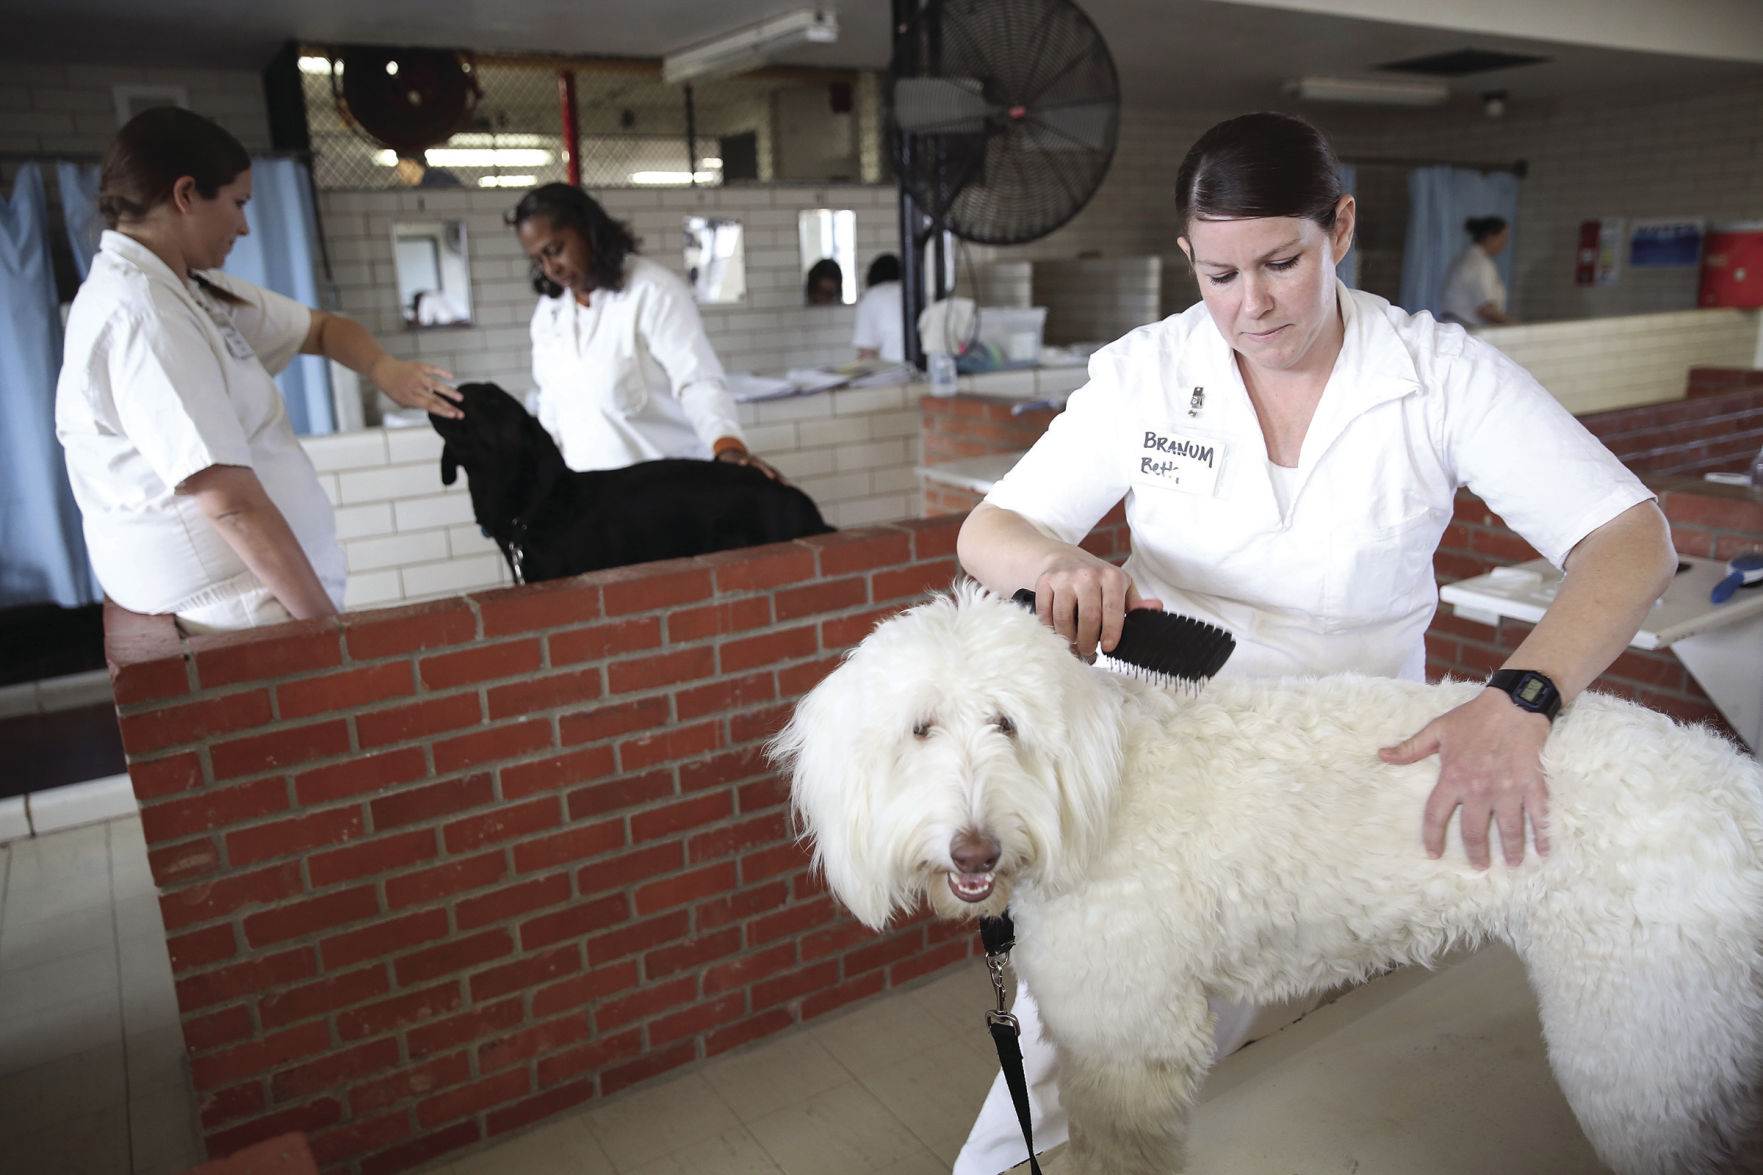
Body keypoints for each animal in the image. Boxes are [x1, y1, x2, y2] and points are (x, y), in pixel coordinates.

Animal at [775, 585, 1763, 1171]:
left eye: (1006, 724)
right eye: (919, 728)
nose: (973, 850)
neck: (1103, 786)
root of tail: (1733, 791)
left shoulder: (1128, 1038)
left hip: (1641, 1050)